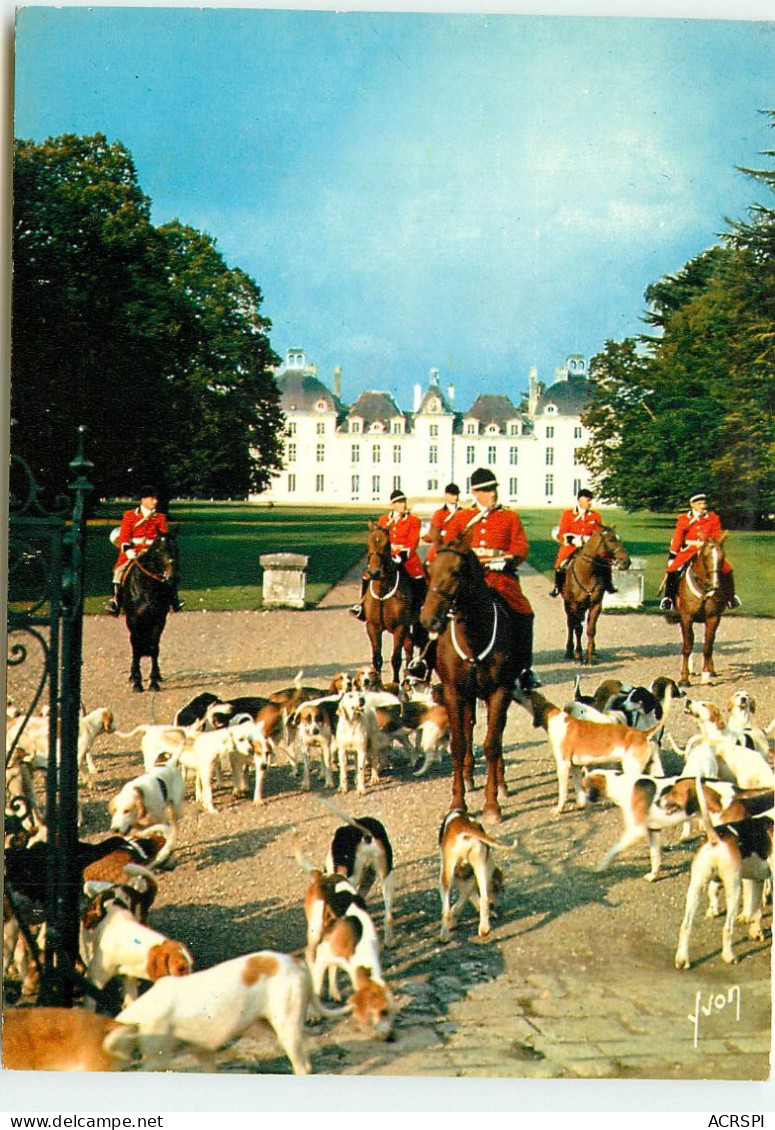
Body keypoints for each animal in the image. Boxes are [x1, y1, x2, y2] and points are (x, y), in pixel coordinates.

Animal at [363, 524, 427, 682]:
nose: (374, 573)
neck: (382, 592)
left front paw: (395, 683)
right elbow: (377, 659)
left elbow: (396, 658)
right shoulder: (372, 627)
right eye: (368, 543)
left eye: (387, 544)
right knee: (409, 644)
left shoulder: (400, 627)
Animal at [418, 537, 533, 822]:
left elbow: (492, 745)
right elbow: (459, 744)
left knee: (497, 733)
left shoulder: (500, 692)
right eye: (429, 569)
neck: (473, 635)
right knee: (469, 728)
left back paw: (501, 784)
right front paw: (457, 802)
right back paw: (469, 777)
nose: (428, 619)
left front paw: (492, 806)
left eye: (456, 572)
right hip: (468, 697)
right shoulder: (453, 693)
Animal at [564, 524, 632, 664]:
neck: (587, 573)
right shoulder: (575, 605)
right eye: (612, 539)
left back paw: (594, 651)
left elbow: (591, 630)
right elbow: (577, 629)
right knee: (570, 624)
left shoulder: (595, 604)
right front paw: (578, 656)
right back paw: (569, 651)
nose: (627, 562)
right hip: (568, 605)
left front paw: (589, 657)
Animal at [668, 533, 732, 682]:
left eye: (722, 557)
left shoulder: (713, 617)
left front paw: (706, 676)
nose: (715, 585)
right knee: (690, 641)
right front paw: (684, 678)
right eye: (705, 556)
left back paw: (711, 670)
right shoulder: (686, 617)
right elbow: (687, 647)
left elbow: (707, 646)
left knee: (709, 642)